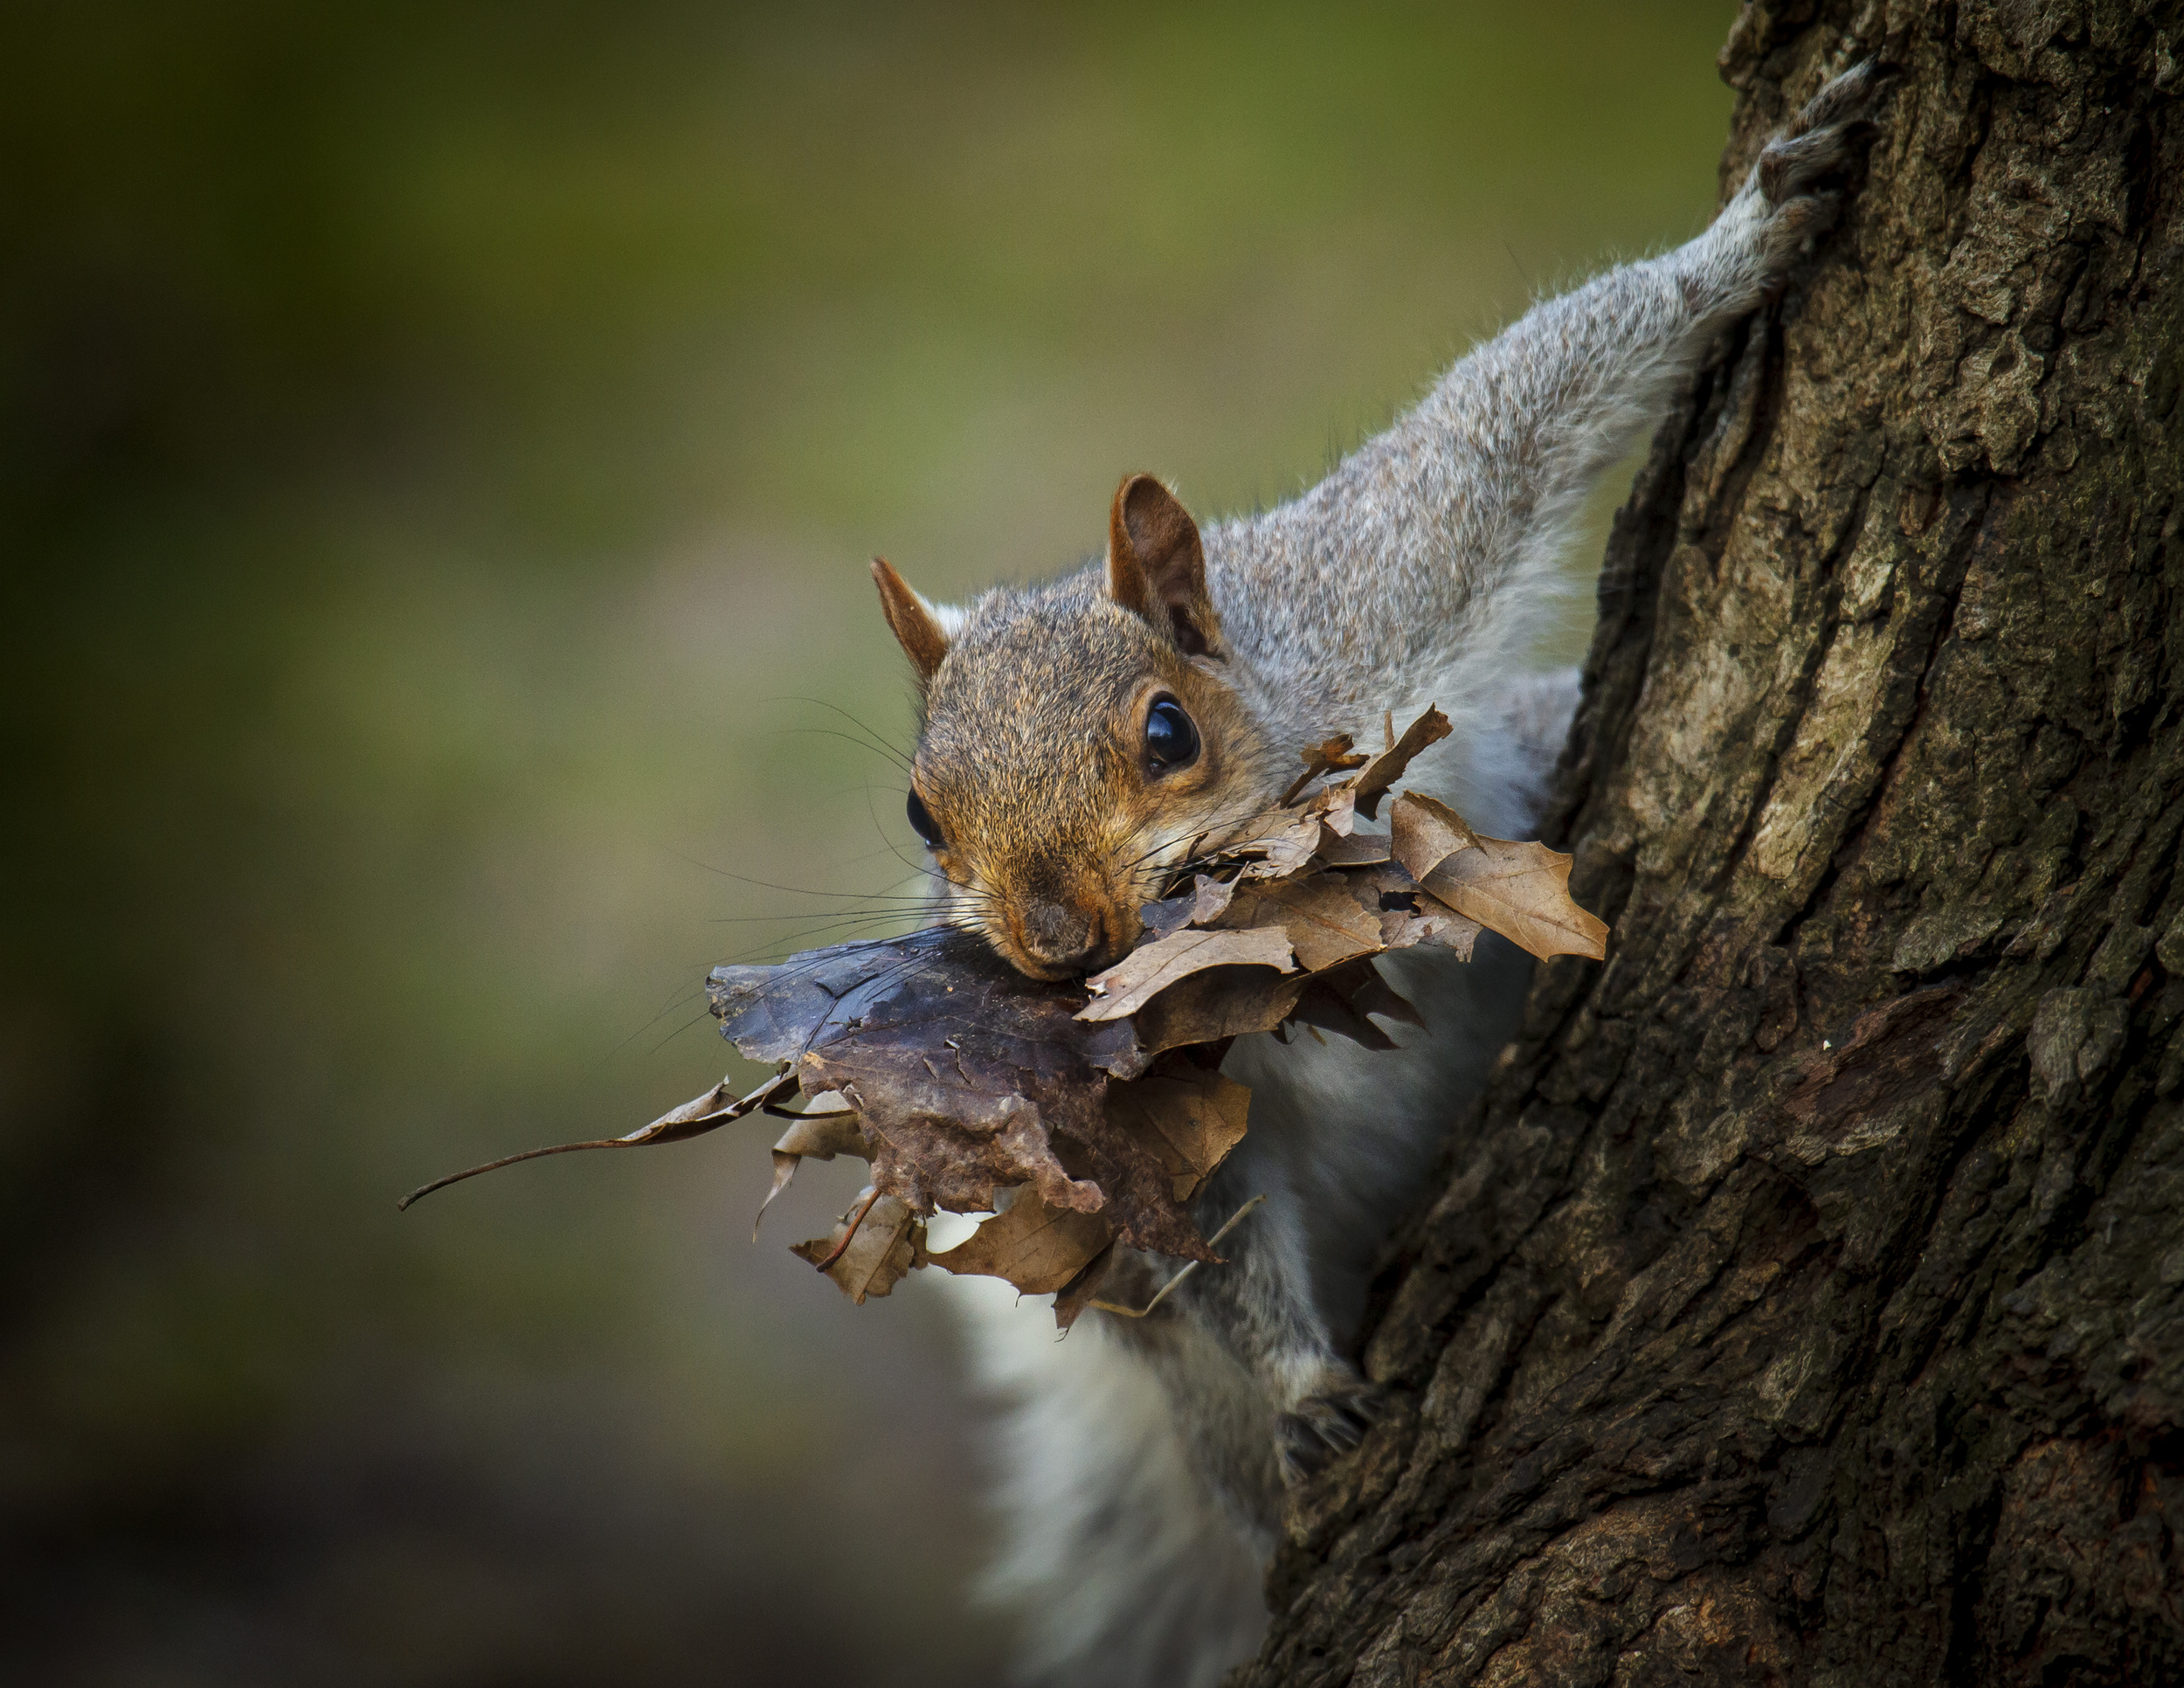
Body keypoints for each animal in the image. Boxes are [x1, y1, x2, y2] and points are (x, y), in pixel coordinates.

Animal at [852, 66, 1878, 1685]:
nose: (1059, 940)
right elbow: (1206, 1219)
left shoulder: (1377, 584)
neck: (1279, 932)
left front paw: (1748, 236)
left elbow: (1508, 419)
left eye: (1166, 731)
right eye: (918, 812)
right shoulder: (1153, 1100)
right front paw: (1304, 1385)